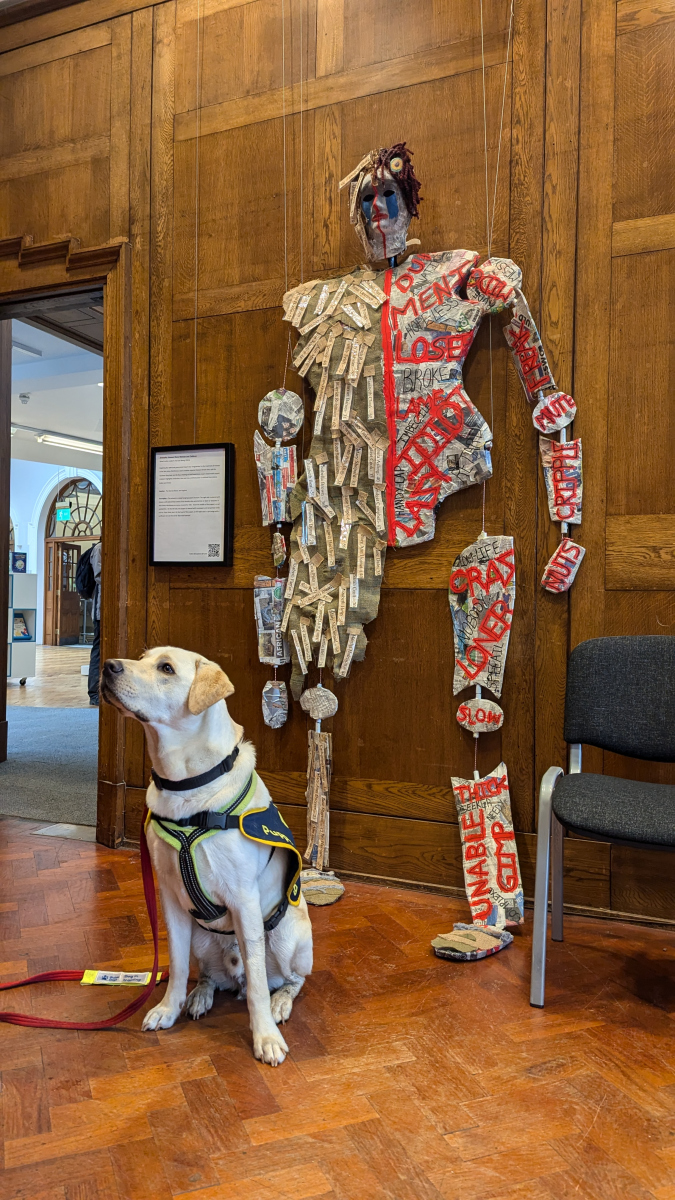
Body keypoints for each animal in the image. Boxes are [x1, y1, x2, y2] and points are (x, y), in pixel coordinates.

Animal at [101, 646, 313, 1066]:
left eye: (166, 668)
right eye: (142, 658)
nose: (107, 666)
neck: (185, 786)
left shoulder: (244, 900)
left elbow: (259, 986)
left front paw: (265, 1036)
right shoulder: (169, 898)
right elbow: (178, 964)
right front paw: (168, 1008)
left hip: (288, 937)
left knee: (288, 979)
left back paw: (280, 1002)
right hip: (202, 938)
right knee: (209, 975)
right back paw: (200, 995)